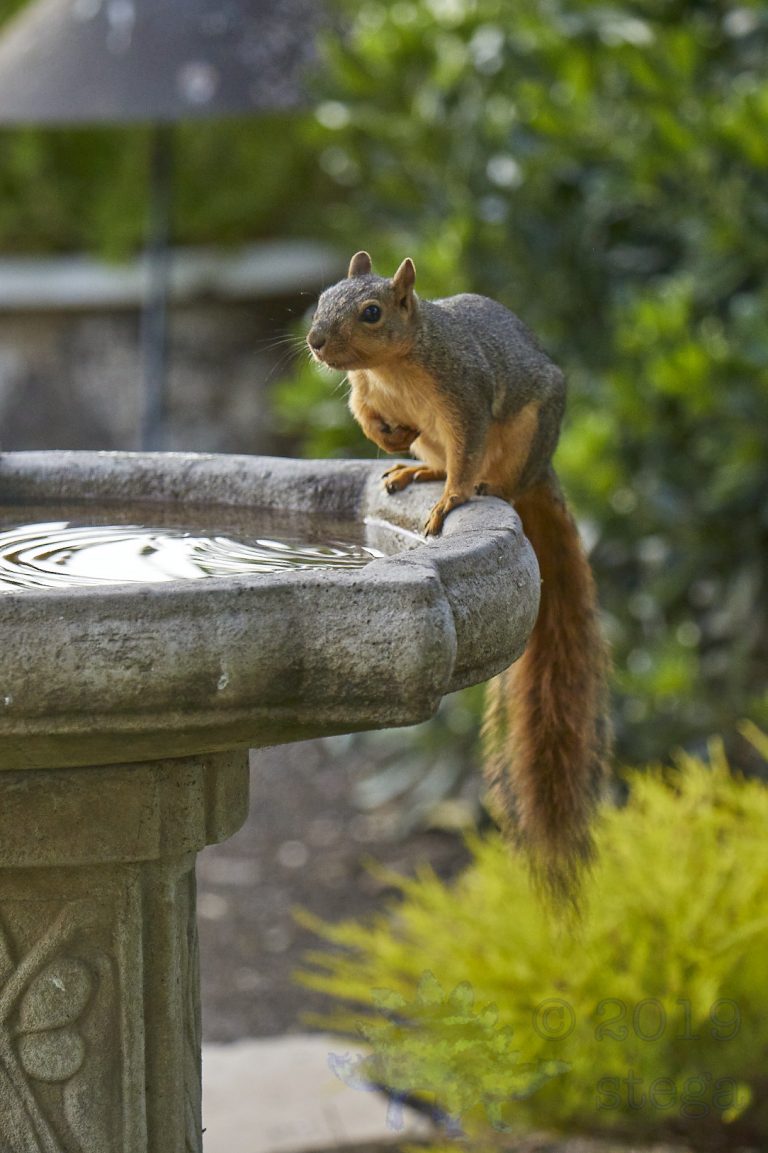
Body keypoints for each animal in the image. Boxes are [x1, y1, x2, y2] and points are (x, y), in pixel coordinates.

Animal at [307, 251, 610, 903]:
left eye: (372, 313)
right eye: (321, 298)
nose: (315, 342)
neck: (393, 366)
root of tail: (544, 470)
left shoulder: (464, 395)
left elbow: (468, 446)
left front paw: (449, 502)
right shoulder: (365, 394)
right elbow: (365, 418)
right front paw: (387, 437)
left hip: (526, 437)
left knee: (489, 474)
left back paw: (477, 487)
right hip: (436, 440)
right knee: (437, 457)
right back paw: (412, 468)